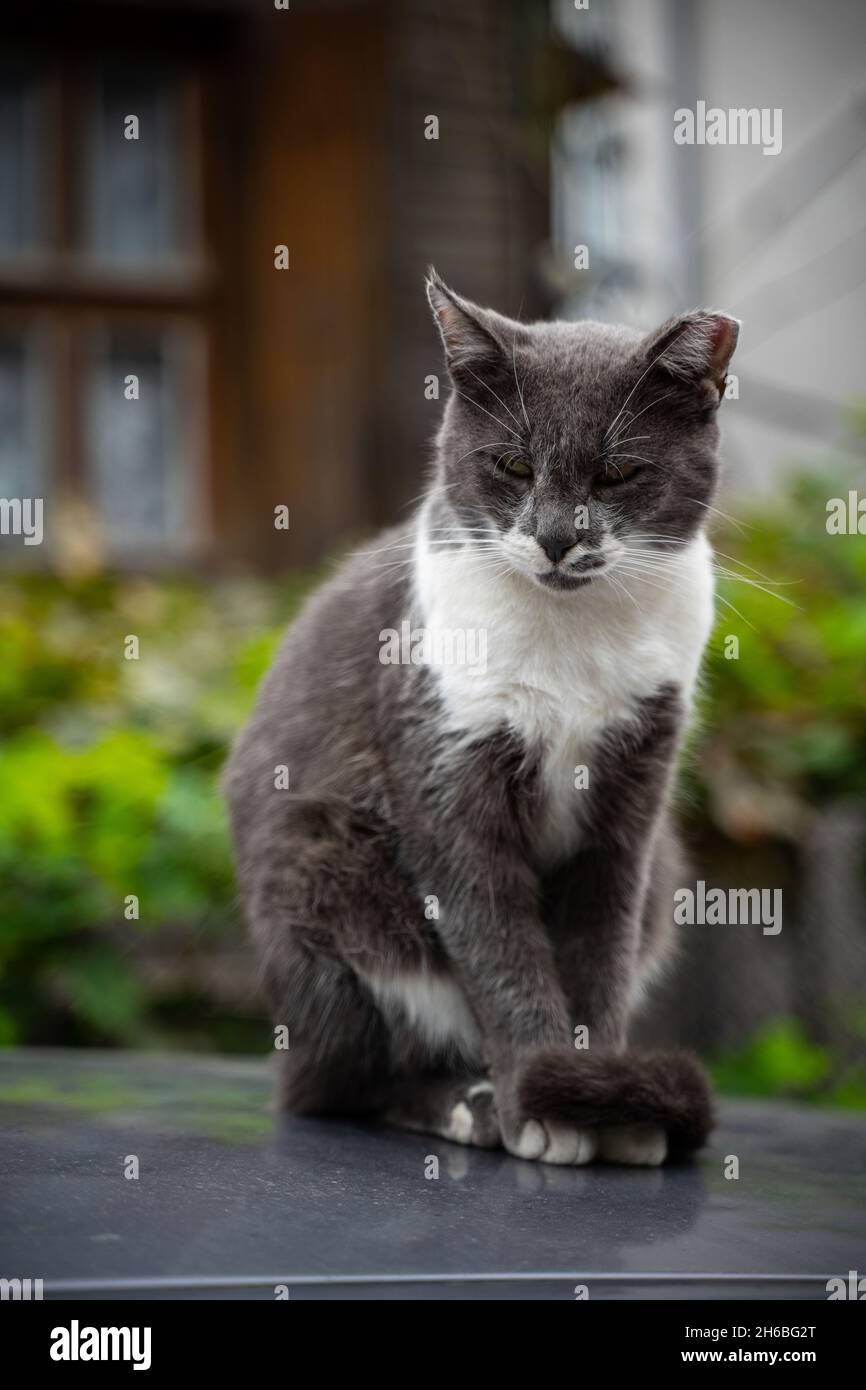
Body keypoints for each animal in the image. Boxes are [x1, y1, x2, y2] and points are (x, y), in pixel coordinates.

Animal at [223, 271, 739, 1162]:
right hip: (314, 857)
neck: (571, 635)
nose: (558, 539)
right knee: (340, 1087)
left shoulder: (637, 792)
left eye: (617, 471)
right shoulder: (445, 764)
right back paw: (465, 1103)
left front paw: (606, 1098)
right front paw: (546, 1104)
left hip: (667, 868)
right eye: (512, 463)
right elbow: (498, 944)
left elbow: (599, 945)